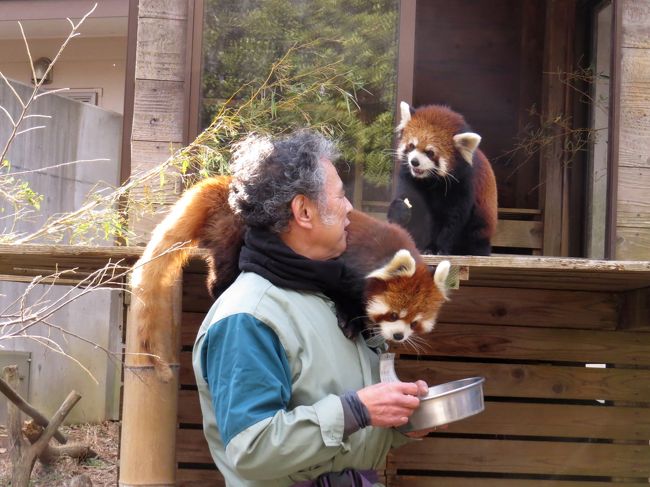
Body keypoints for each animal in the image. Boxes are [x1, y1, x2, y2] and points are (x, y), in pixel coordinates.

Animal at [384, 101, 496, 258]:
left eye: (430, 153)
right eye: (412, 146)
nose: (414, 162)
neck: (429, 180)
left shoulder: (462, 184)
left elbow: (452, 220)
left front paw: (437, 248)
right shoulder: (409, 178)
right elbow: (410, 205)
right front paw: (401, 210)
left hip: (483, 220)